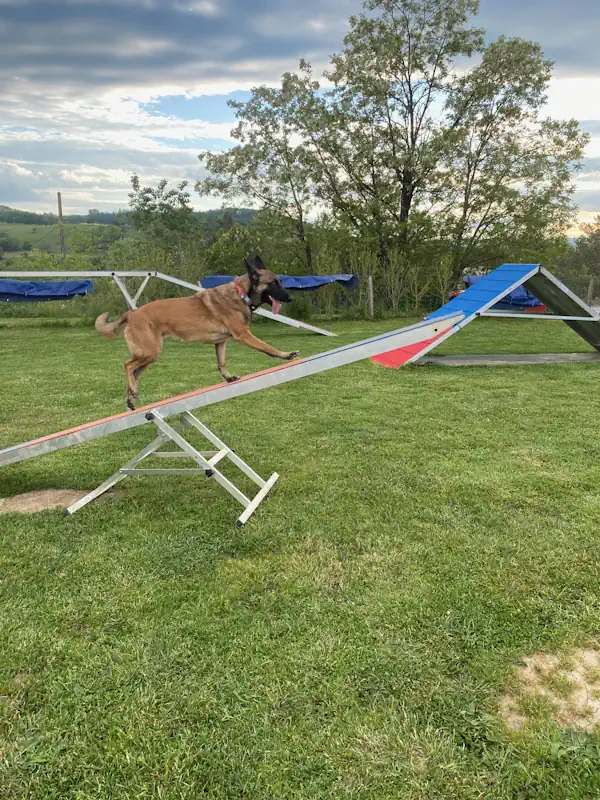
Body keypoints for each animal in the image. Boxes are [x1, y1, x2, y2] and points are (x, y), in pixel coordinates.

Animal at [95, 255, 300, 410]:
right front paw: (286, 354)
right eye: (273, 283)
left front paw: (228, 378)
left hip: (148, 356)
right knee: (127, 365)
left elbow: (221, 362)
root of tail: (132, 313)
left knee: (134, 372)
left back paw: (131, 397)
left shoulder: (221, 342)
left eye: (280, 282)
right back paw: (132, 392)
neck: (242, 293)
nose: (291, 297)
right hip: (150, 352)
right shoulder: (243, 335)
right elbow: (267, 347)